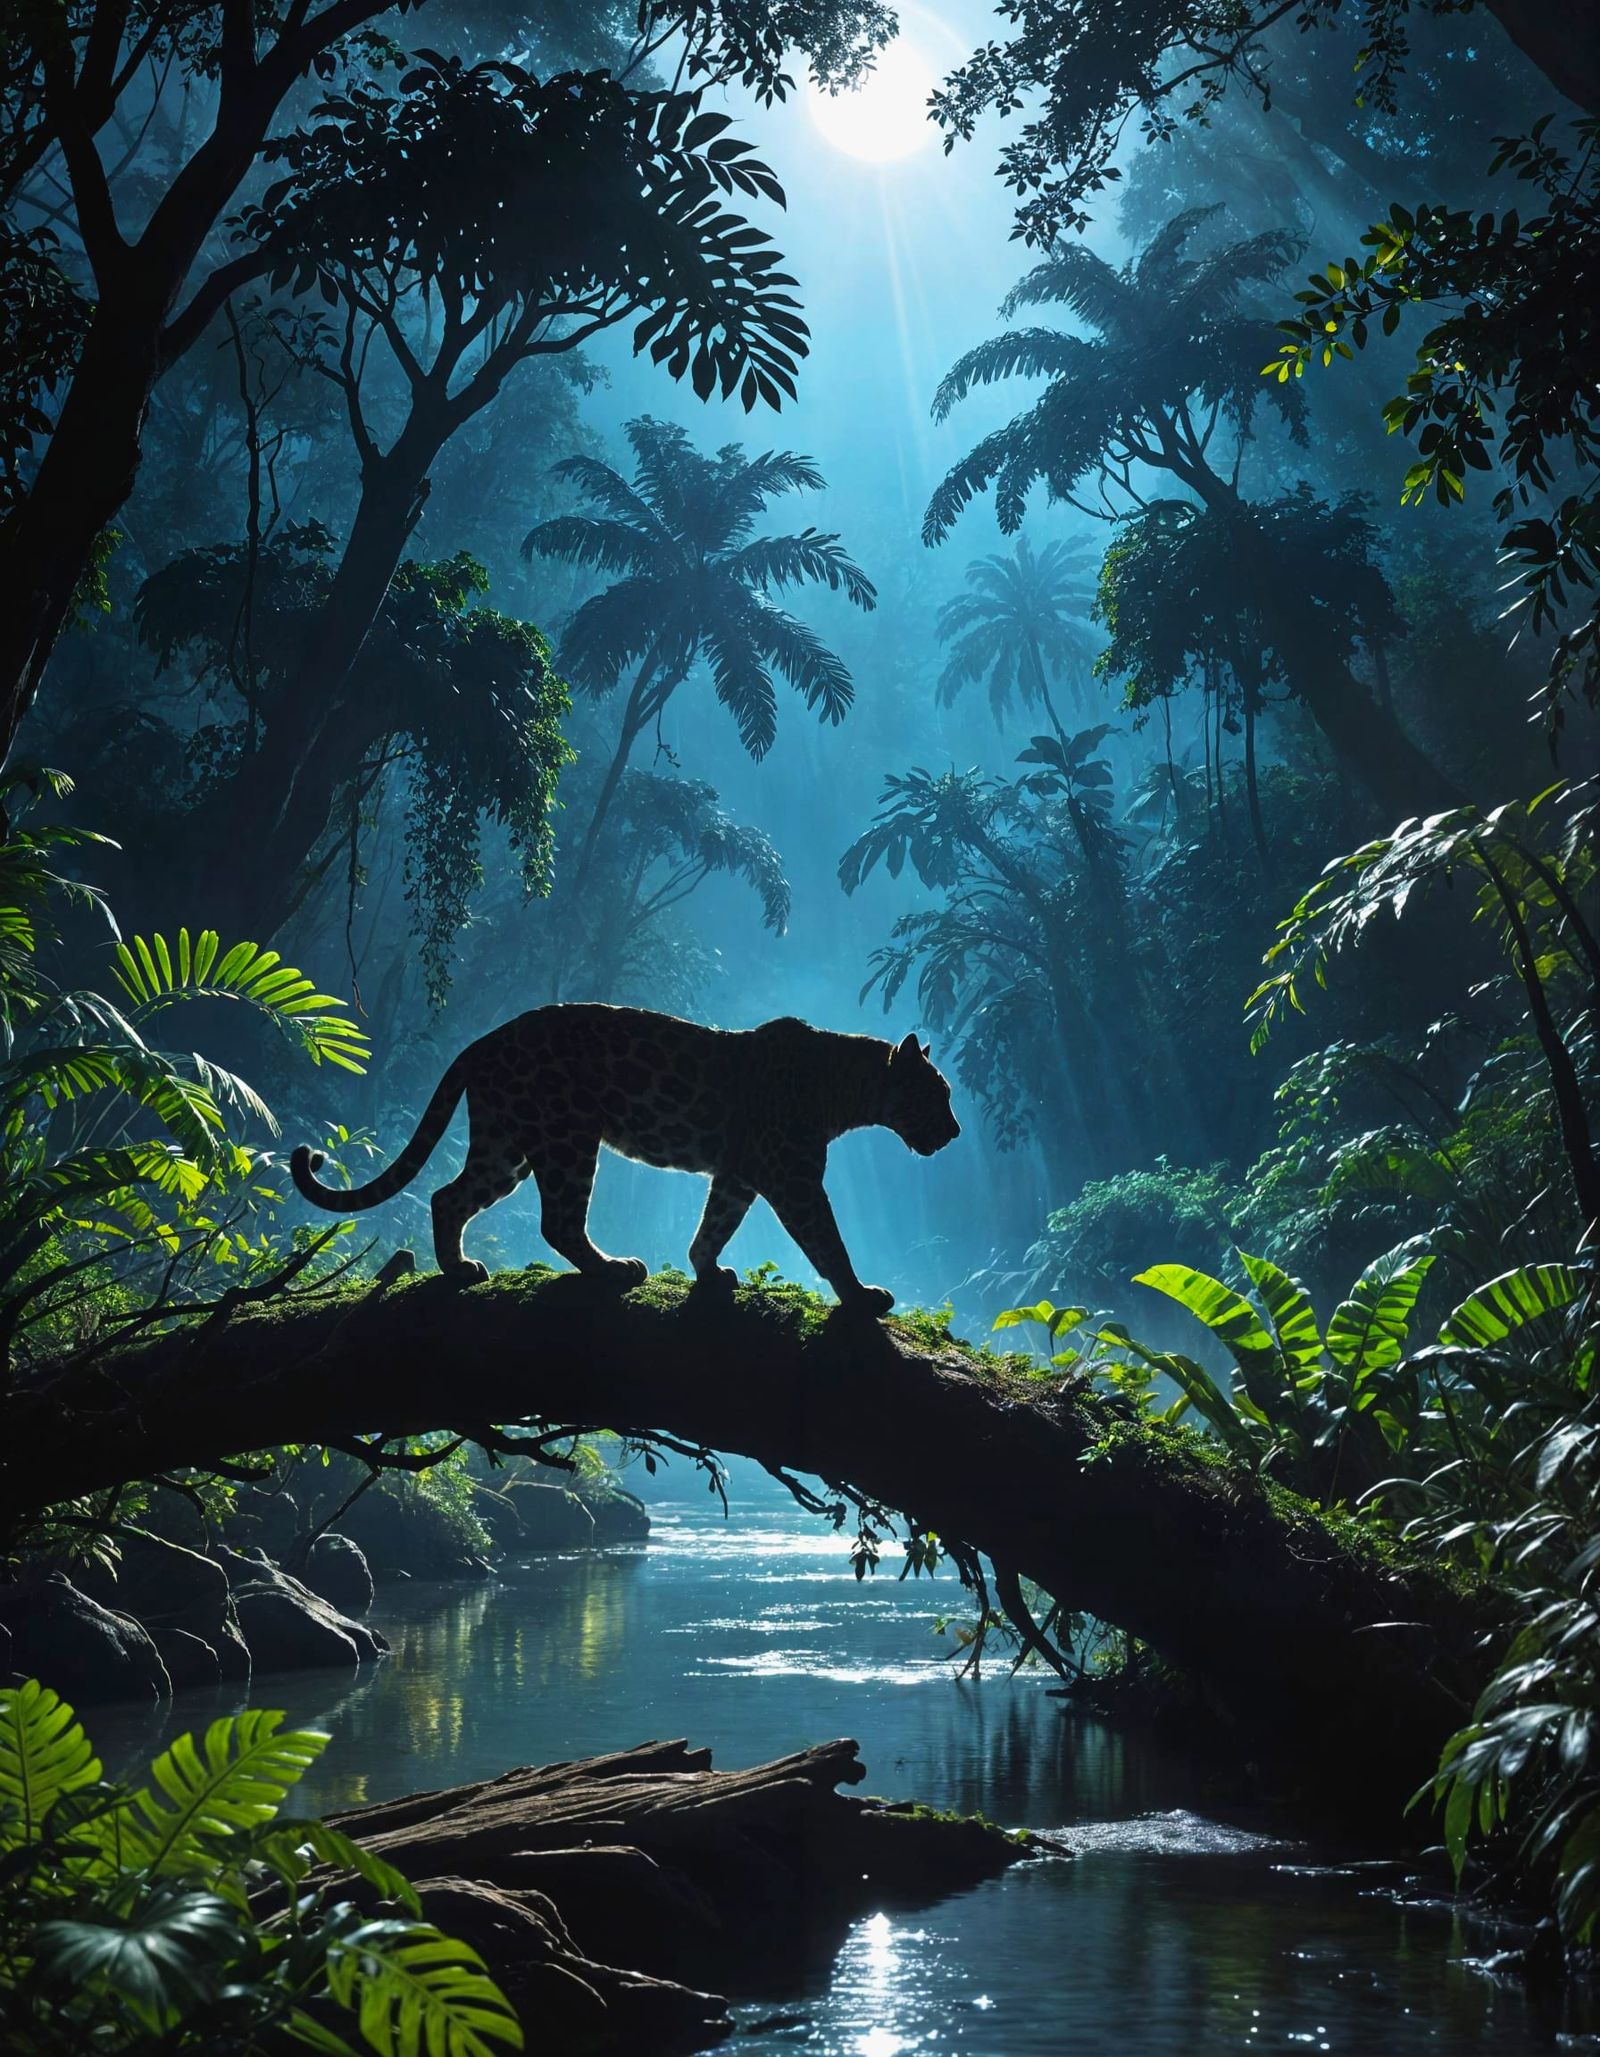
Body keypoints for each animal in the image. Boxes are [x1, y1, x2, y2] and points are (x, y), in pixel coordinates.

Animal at [290, 1003, 961, 1312]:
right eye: (938, 1095)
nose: (955, 1133)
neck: (844, 1087)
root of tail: (487, 1038)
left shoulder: (738, 1176)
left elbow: (713, 1226)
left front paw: (708, 1272)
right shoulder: (794, 1180)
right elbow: (828, 1242)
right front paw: (861, 1296)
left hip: (507, 1146)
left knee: (447, 1196)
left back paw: (459, 1270)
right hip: (567, 1140)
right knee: (558, 1221)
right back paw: (614, 1269)